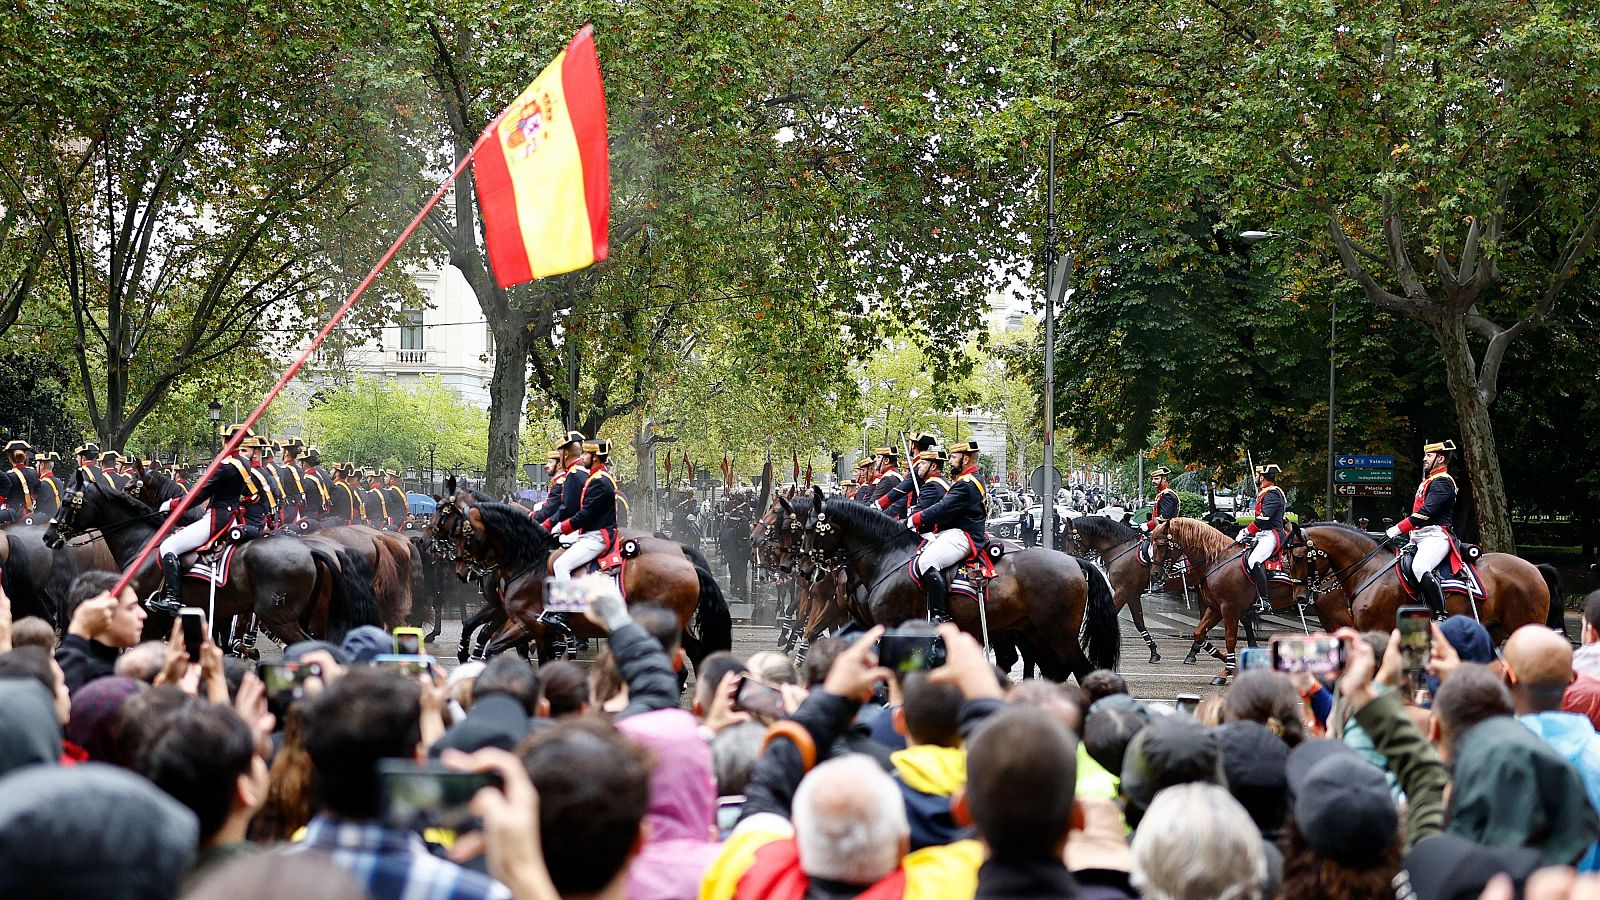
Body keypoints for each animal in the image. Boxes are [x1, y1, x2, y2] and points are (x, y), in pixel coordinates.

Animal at [46, 474, 377, 640]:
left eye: (68, 502)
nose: (48, 536)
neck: (143, 544)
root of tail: (308, 548)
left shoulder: (149, 620)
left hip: (280, 619)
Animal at [793, 490, 1120, 679]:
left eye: (811, 529)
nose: (805, 570)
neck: (888, 555)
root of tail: (1073, 561)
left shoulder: (892, 625)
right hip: (1033, 632)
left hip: (1057, 635)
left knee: (1078, 670)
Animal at [1152, 515, 1350, 682]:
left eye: (1160, 544)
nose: (1154, 574)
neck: (1217, 560)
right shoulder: (1215, 608)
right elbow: (1199, 633)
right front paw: (1228, 664)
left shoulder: (1229, 609)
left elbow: (1230, 638)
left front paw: (1227, 671)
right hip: (1324, 610)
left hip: (1335, 608)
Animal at [1299, 522, 1548, 640]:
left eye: (1298, 556)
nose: (1300, 596)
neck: (1370, 568)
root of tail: (1534, 568)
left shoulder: (1374, 629)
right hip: (1494, 629)